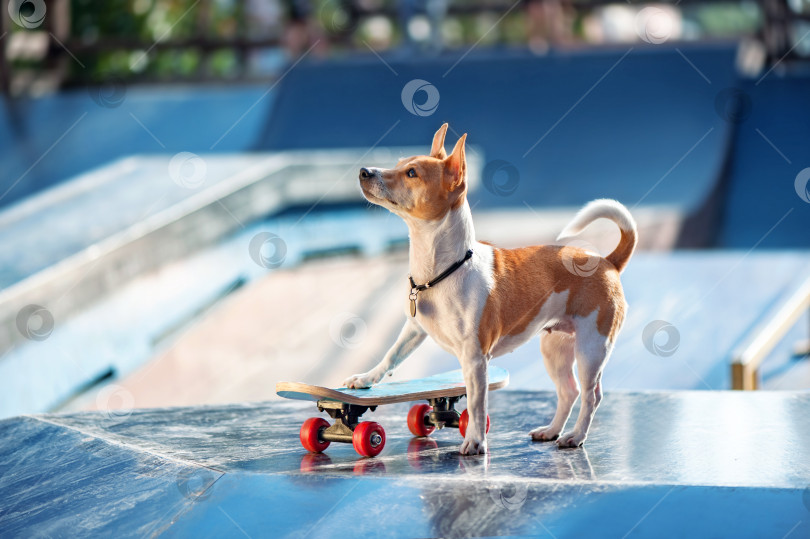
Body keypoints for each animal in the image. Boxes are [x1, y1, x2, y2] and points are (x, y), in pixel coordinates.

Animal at [340, 124, 632, 458]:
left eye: (411, 173)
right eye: (399, 163)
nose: (364, 170)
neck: (441, 270)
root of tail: (607, 261)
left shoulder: (475, 360)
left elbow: (477, 404)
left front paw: (475, 441)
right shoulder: (413, 330)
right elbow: (390, 357)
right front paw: (366, 378)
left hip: (591, 349)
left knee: (590, 396)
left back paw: (575, 435)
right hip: (555, 349)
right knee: (568, 392)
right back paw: (552, 430)